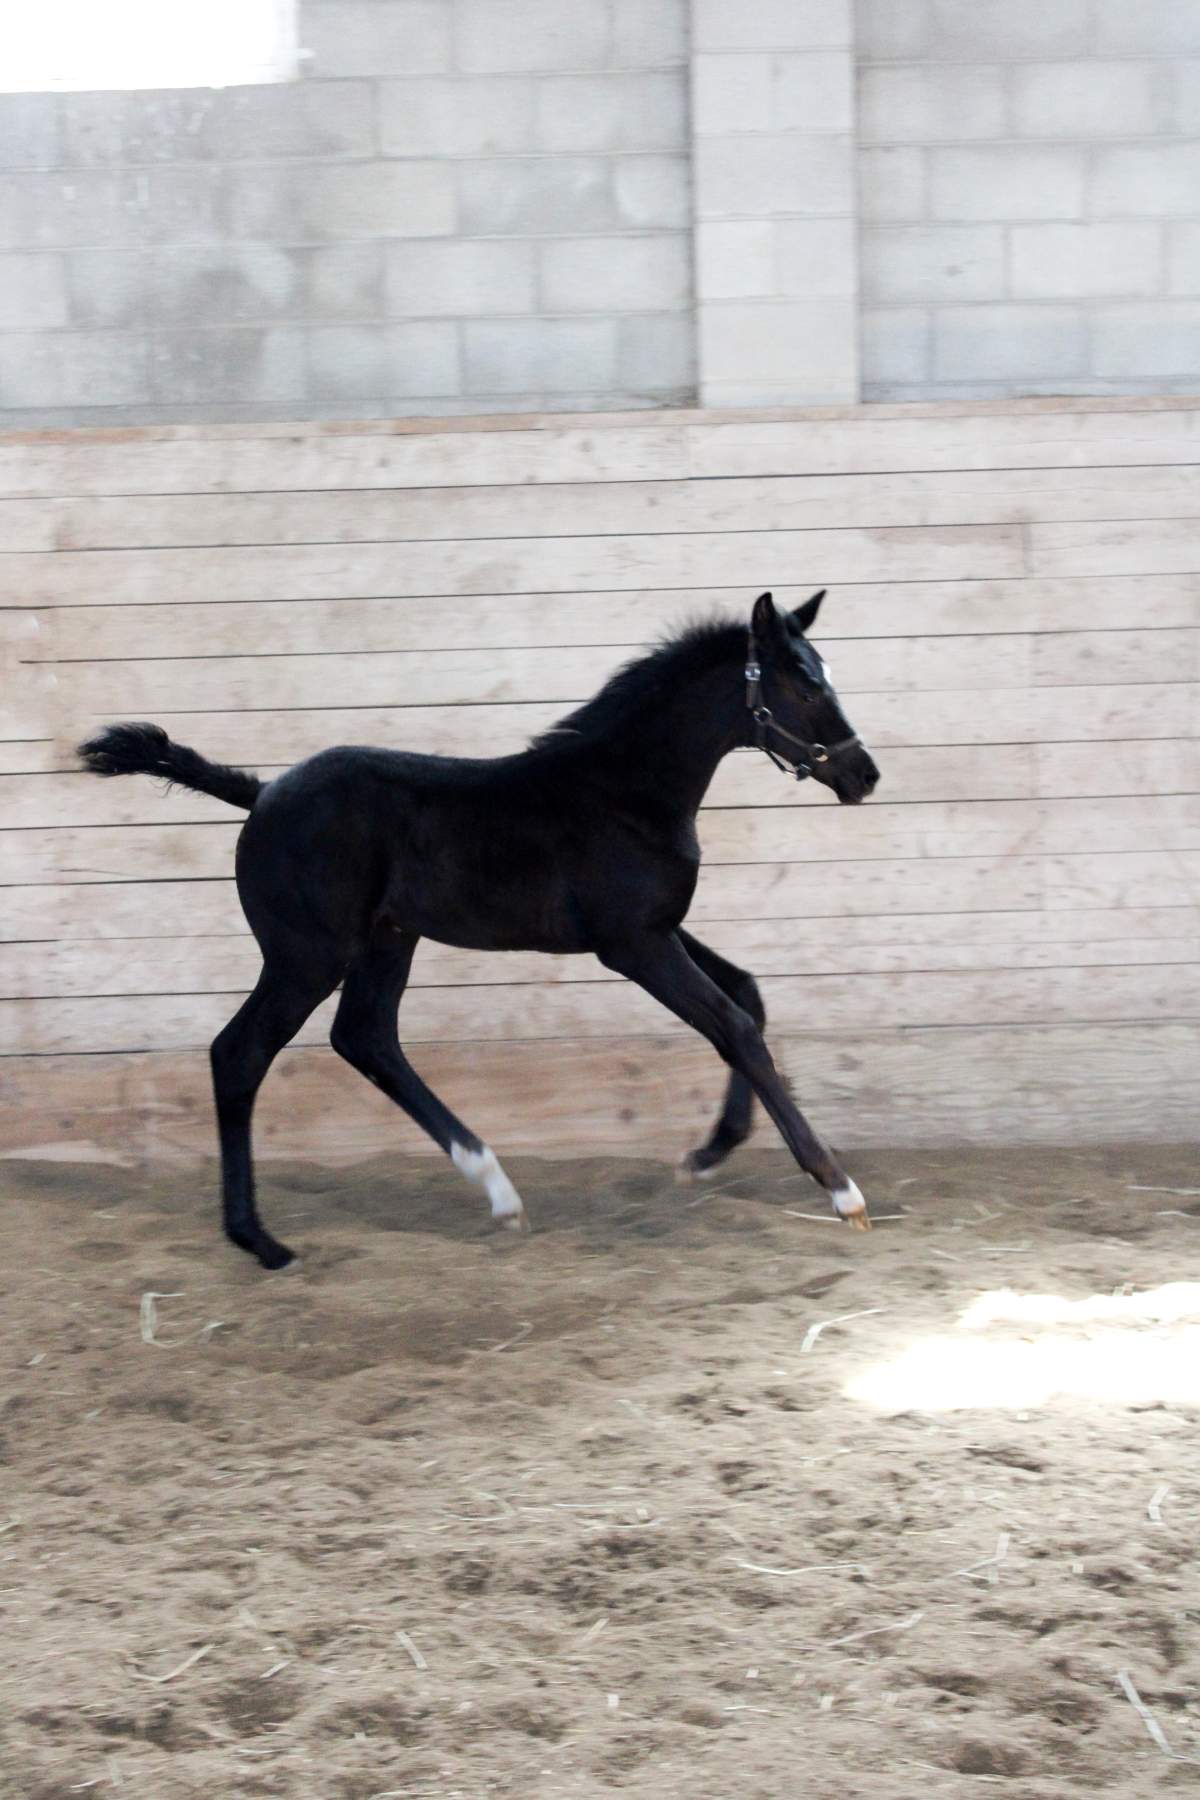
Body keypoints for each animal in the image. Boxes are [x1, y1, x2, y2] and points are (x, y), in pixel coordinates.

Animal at [78, 590, 880, 1269]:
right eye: (806, 686)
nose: (864, 776)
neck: (625, 793)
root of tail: (264, 792)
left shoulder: (655, 931)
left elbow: (747, 995)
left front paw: (708, 1153)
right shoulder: (635, 944)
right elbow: (734, 1026)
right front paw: (840, 1190)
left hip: (386, 940)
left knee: (365, 1038)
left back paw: (497, 1189)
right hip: (308, 955)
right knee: (241, 1052)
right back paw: (261, 1240)